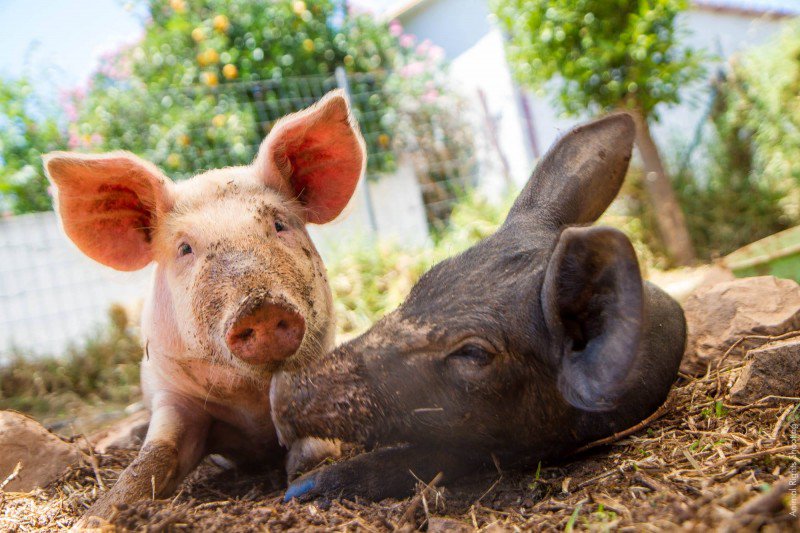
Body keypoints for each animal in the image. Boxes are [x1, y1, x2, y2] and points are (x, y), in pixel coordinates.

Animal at [45, 90, 364, 520]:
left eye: (279, 224)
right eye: (184, 248)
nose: (261, 307)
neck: (251, 404)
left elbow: (317, 437)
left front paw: (301, 468)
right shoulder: (174, 397)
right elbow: (152, 458)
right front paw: (98, 516)